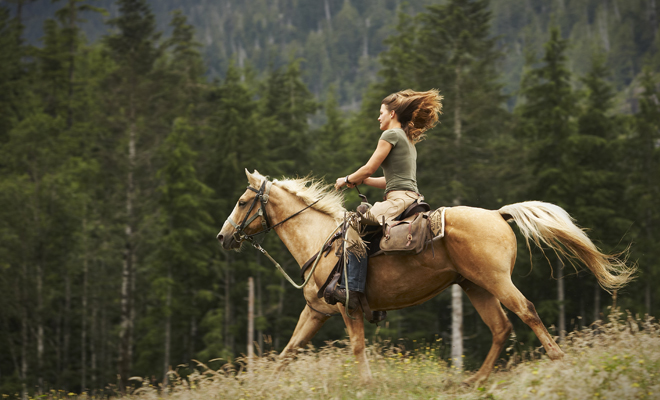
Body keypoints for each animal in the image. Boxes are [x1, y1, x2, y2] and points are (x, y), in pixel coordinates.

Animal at [216, 169, 635, 385]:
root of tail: (498, 214)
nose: (223, 237)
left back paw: (558, 360)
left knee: (526, 312)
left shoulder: (348, 308)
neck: (322, 241)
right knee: (501, 328)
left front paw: (367, 386)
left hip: (497, 281)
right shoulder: (316, 312)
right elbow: (289, 350)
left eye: (241, 201)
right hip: (475, 287)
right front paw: (264, 386)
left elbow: (357, 347)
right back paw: (473, 381)